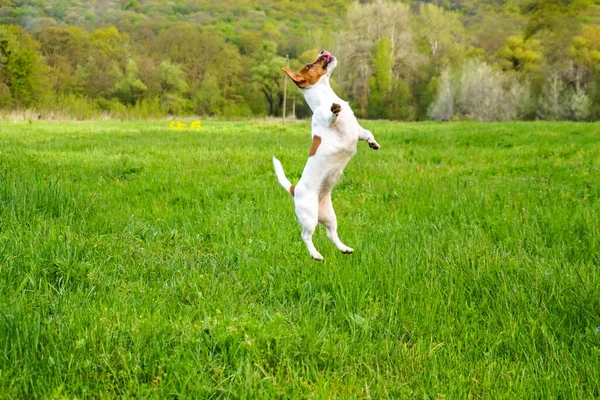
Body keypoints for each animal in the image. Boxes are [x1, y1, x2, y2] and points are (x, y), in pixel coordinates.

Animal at [274, 50, 380, 260]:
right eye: (309, 64)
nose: (323, 51)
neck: (325, 96)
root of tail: (294, 189)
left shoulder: (357, 131)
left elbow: (367, 132)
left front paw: (373, 143)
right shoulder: (330, 124)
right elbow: (331, 117)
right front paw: (334, 110)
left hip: (329, 217)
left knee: (332, 234)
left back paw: (344, 248)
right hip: (309, 216)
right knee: (306, 236)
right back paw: (315, 254)